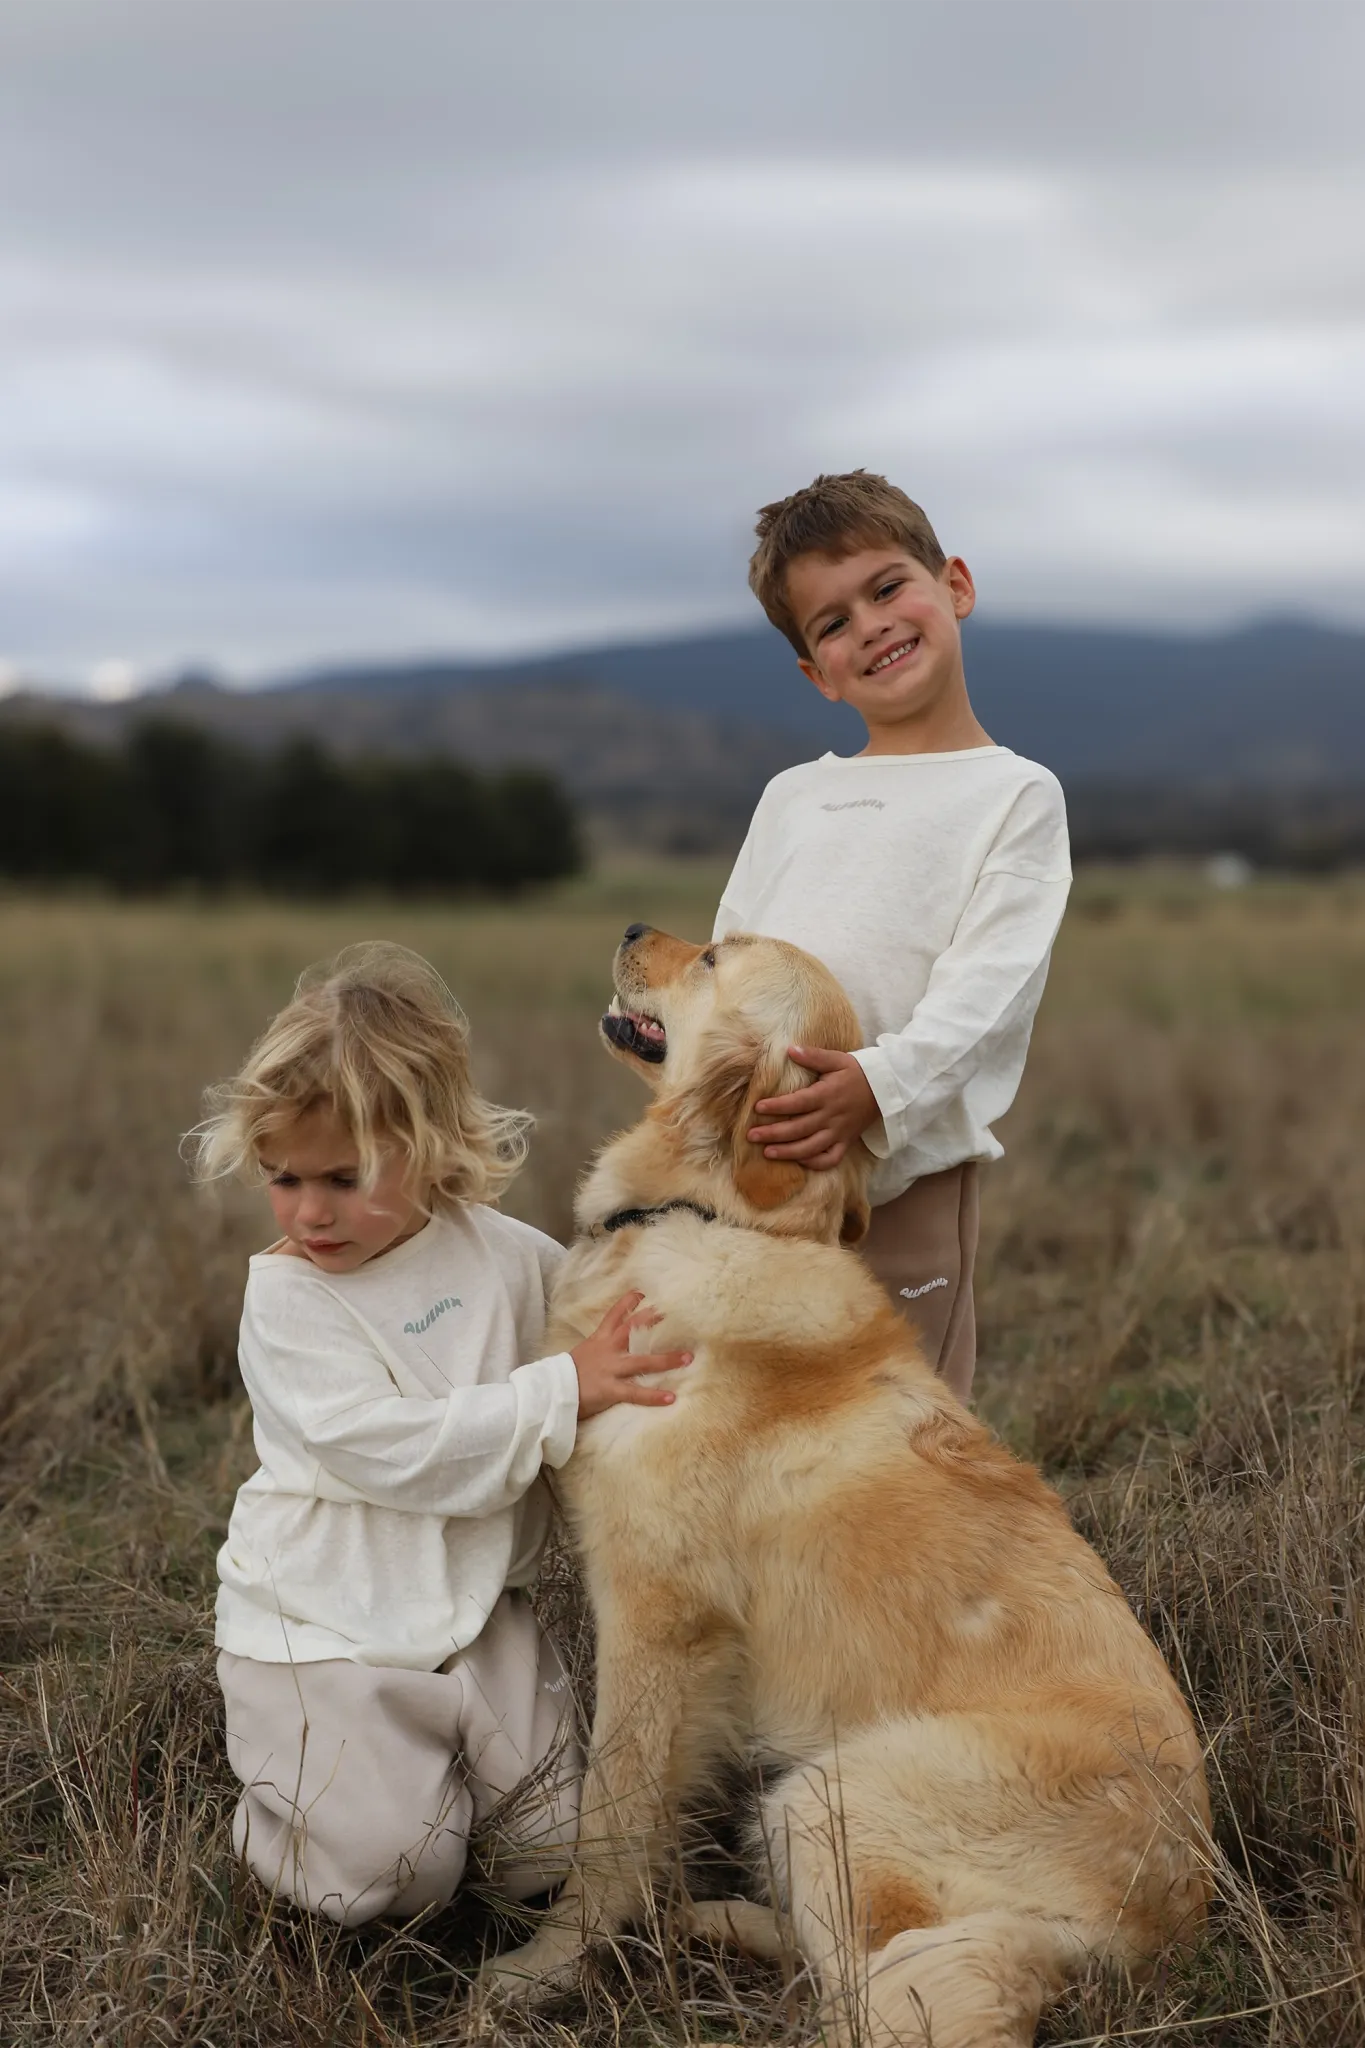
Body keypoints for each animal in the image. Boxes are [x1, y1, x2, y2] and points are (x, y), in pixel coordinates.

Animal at [489, 933, 1203, 2048]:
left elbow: (610, 1818)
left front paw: (544, 1970)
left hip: (836, 1791)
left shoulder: (658, 1617)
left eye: (711, 954)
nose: (634, 929)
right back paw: (709, 1916)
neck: (727, 1217)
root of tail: (1167, 1920)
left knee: (861, 1993)